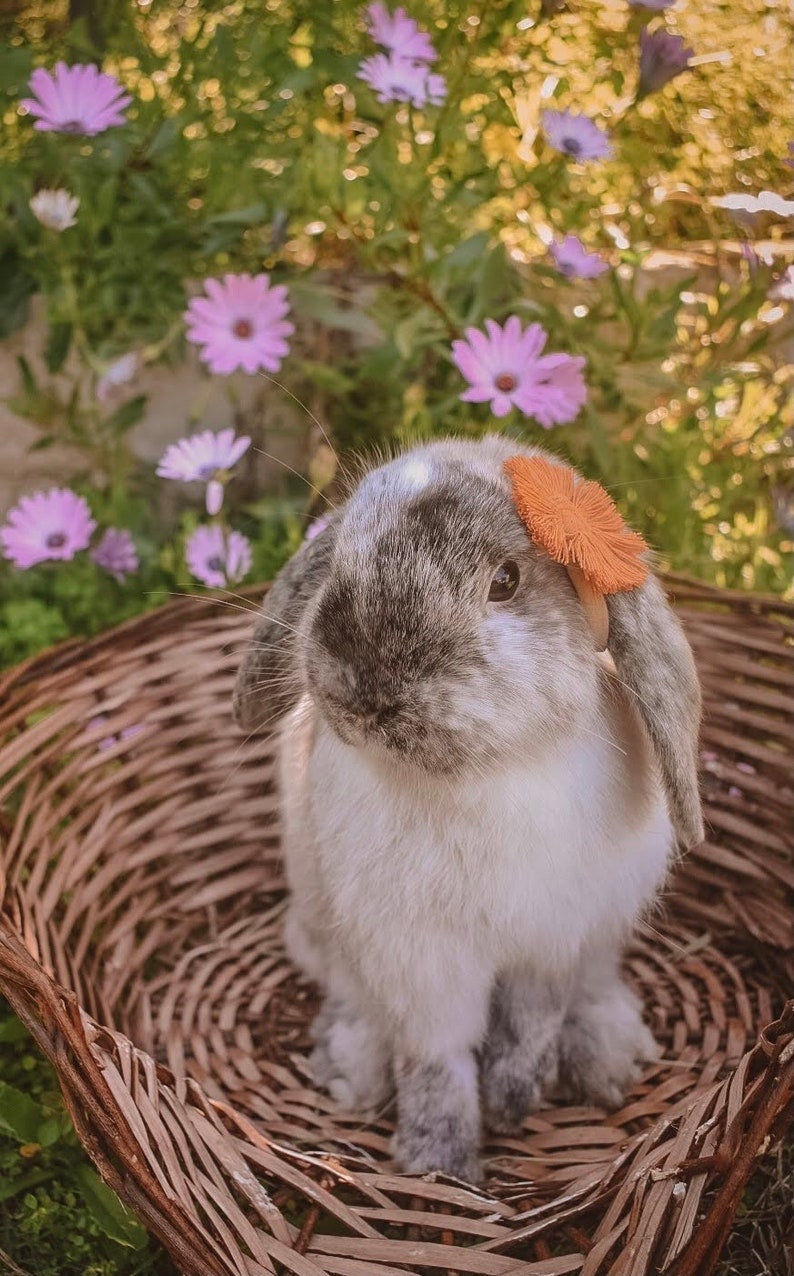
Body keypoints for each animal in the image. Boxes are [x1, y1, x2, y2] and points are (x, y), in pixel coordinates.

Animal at [234, 433, 704, 1179]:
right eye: (339, 560)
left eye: (505, 581)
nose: (363, 691)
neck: (485, 773)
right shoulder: (419, 959)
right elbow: (436, 1056)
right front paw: (439, 1164)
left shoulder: (552, 939)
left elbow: (533, 1023)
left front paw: (513, 1101)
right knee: (349, 994)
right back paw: (351, 1066)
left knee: (591, 989)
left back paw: (607, 1058)